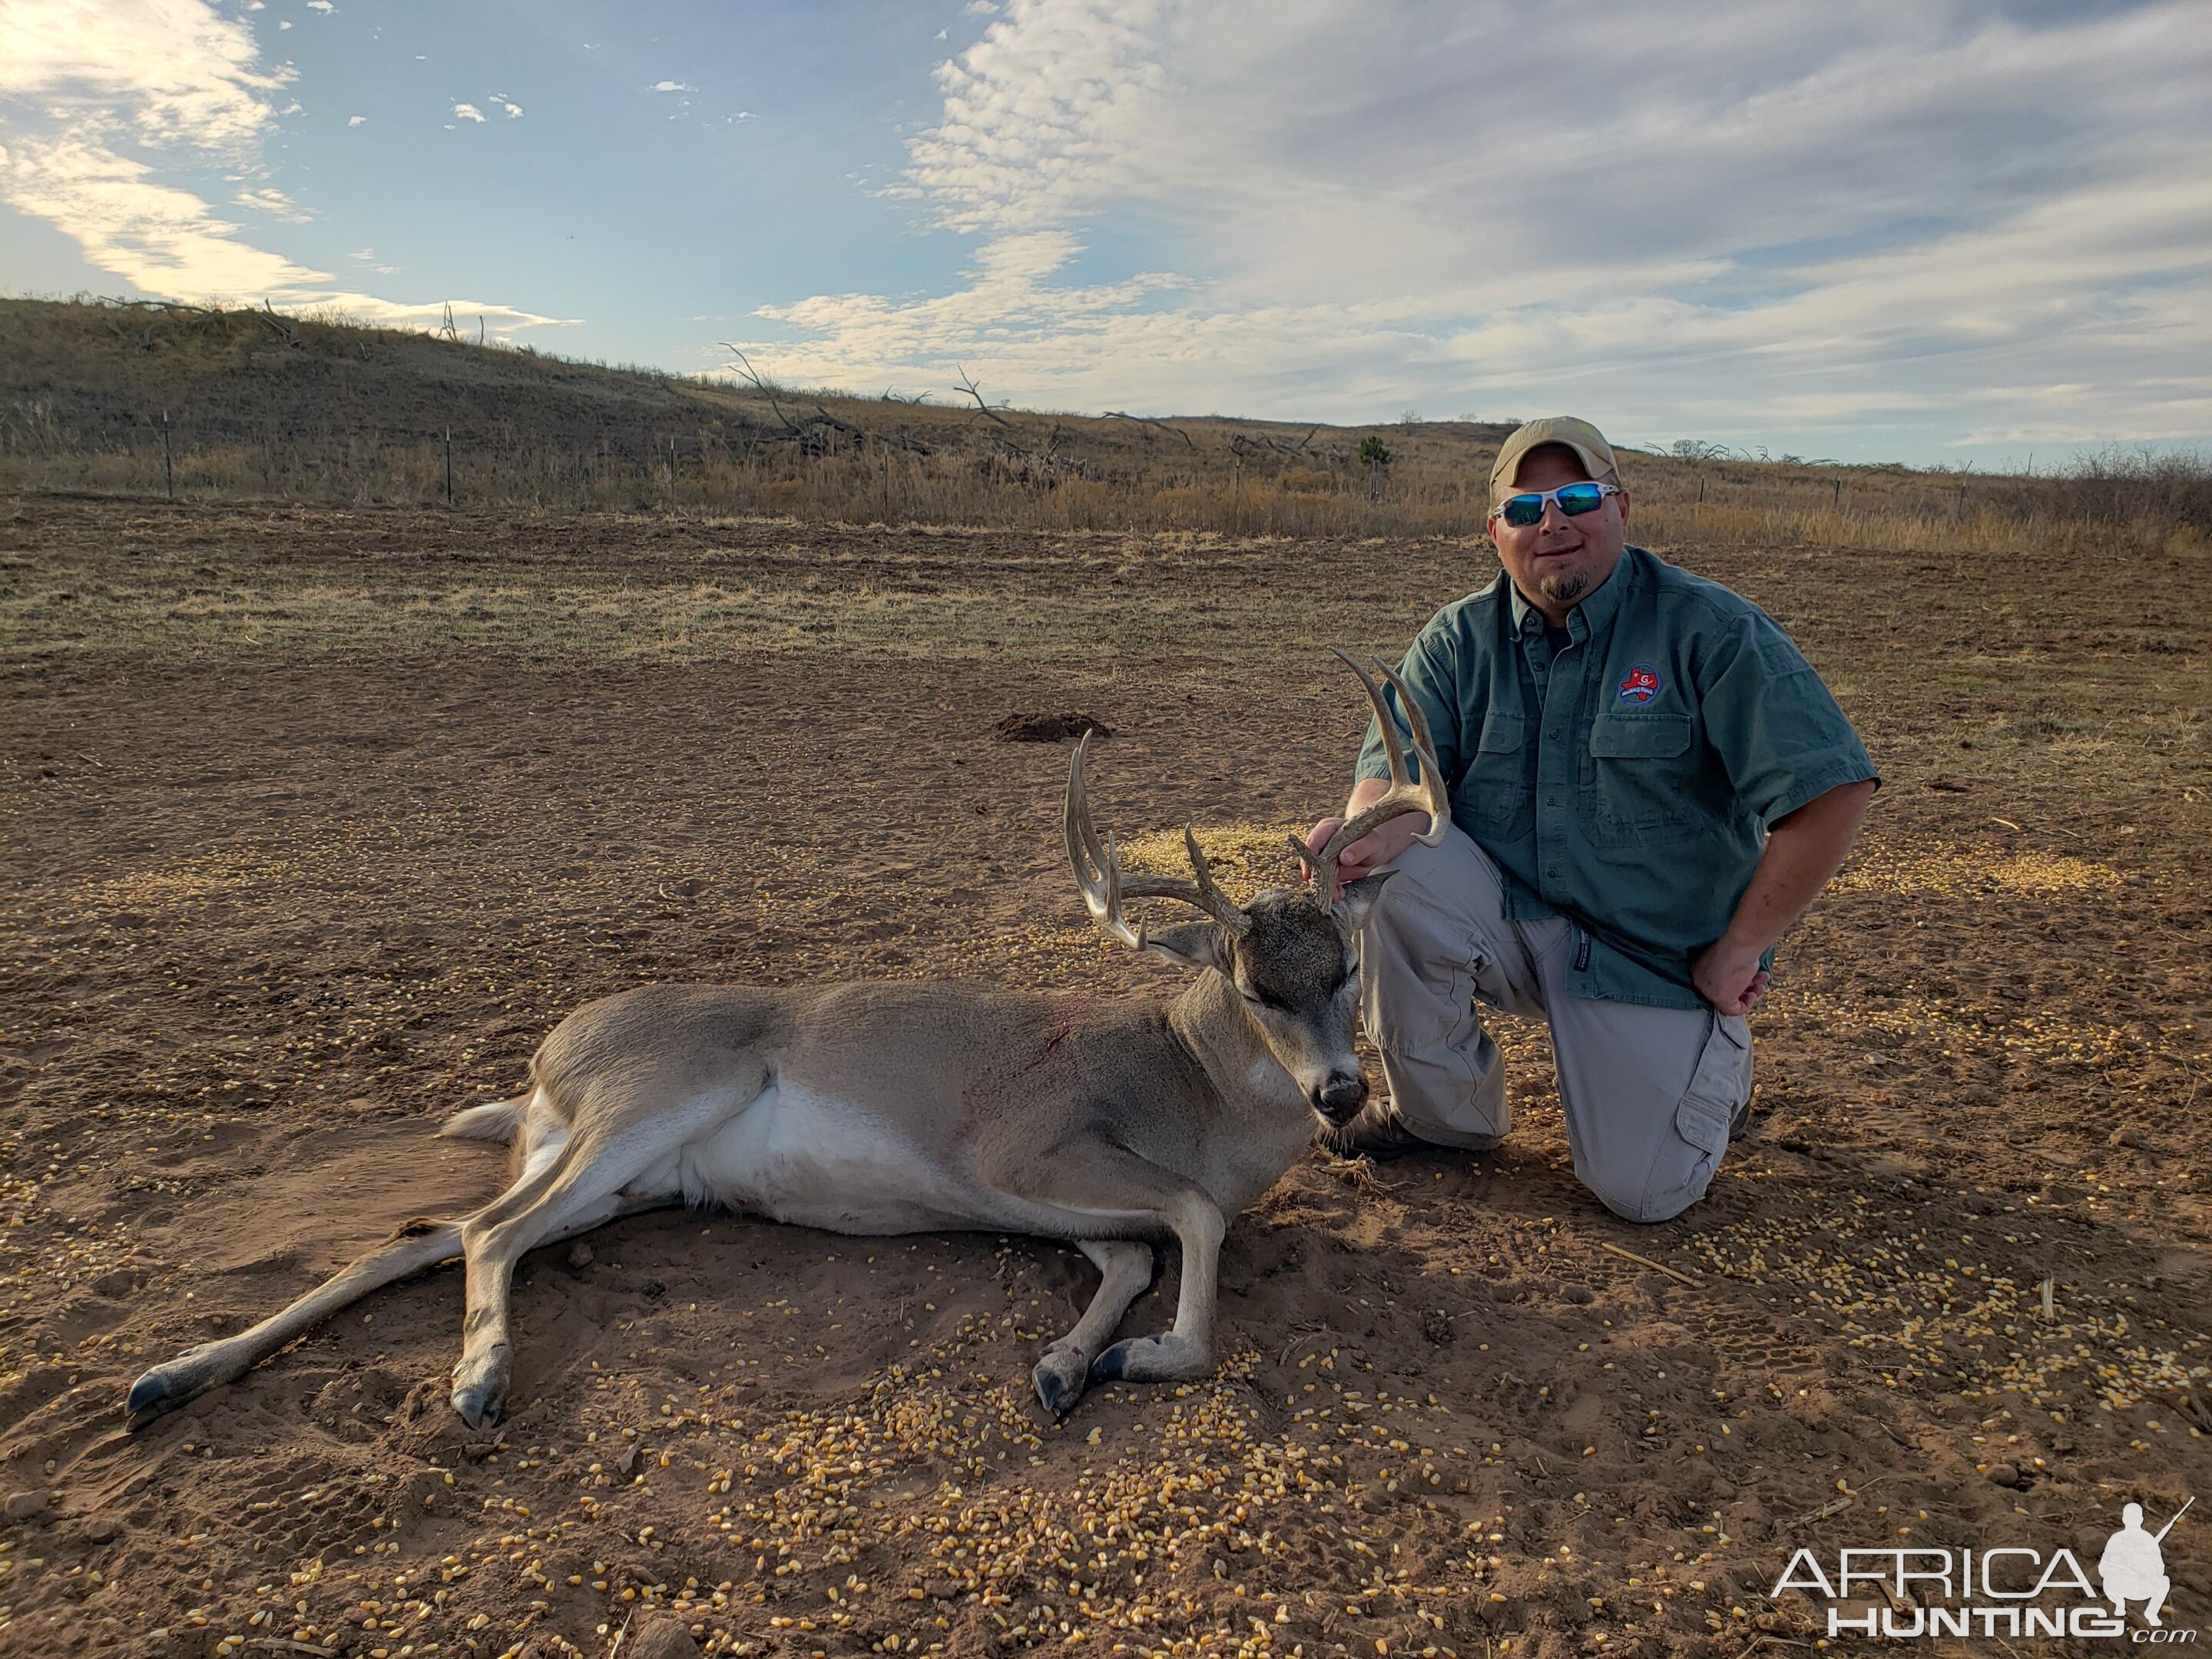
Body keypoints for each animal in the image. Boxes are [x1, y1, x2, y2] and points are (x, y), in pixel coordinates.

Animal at [138, 654, 1451, 1433]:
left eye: (1343, 968)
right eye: (1254, 986)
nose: (1342, 1093)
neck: (1184, 1086)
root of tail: (548, 1062)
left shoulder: (1042, 1202)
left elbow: (1133, 1252)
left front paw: (1068, 1364)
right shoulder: (1020, 1149)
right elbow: (1190, 1218)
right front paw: (1139, 1358)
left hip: (621, 1178)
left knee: (432, 1233)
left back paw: (173, 1375)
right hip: (654, 1100)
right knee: (488, 1232)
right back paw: (475, 1382)